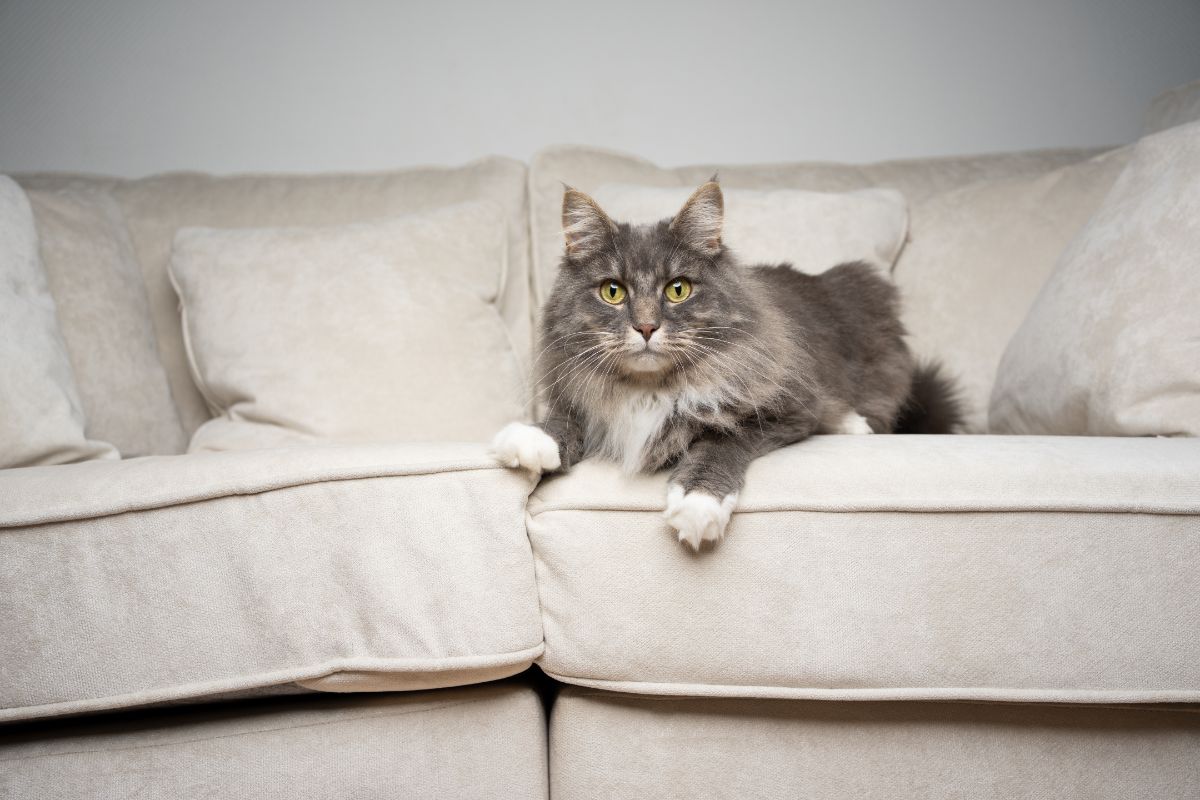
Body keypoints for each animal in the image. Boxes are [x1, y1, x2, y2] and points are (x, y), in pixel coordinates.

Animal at [492, 179, 960, 551]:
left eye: (677, 289)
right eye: (612, 292)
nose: (646, 327)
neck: (650, 388)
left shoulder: (791, 409)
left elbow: (723, 437)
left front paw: (698, 502)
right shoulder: (582, 399)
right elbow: (565, 418)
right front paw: (533, 439)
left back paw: (852, 423)